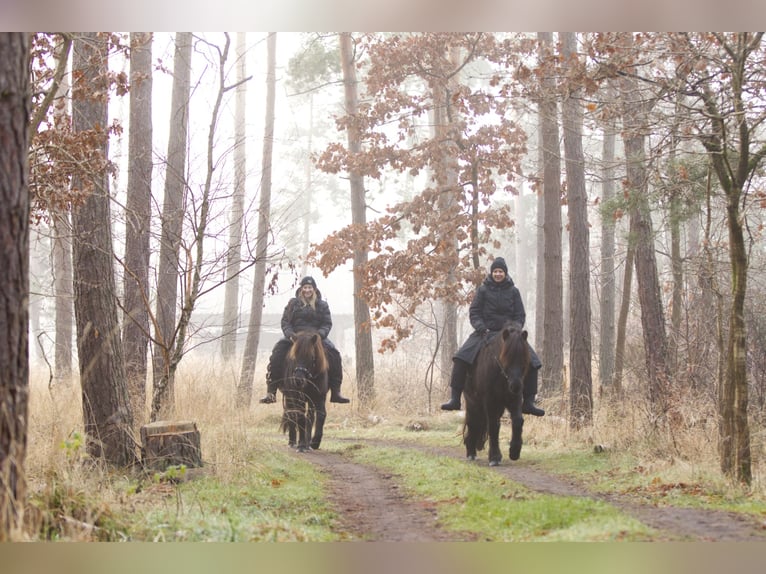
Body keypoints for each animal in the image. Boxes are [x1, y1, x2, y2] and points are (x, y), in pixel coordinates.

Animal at [464, 324, 532, 468]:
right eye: (506, 357)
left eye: (524, 358)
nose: (516, 386)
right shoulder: (490, 401)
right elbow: (493, 426)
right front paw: (494, 457)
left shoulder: (514, 400)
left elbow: (517, 421)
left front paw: (514, 451)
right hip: (473, 402)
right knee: (473, 423)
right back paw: (471, 452)